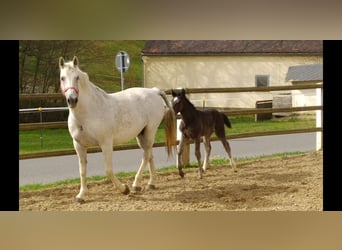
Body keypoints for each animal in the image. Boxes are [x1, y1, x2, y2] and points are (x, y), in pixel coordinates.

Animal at [59, 55, 176, 202]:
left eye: (77, 77)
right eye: (62, 78)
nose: (72, 100)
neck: (89, 112)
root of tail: (154, 91)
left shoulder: (106, 143)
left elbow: (108, 170)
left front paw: (124, 189)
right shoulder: (79, 145)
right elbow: (82, 171)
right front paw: (81, 195)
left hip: (150, 131)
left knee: (145, 156)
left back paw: (135, 184)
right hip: (141, 135)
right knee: (149, 155)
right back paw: (150, 183)